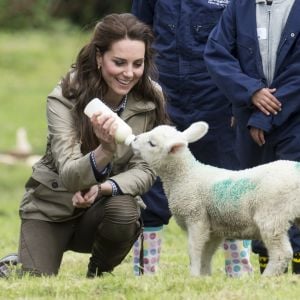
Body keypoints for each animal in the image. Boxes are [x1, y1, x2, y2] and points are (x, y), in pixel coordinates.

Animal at [131, 120, 300, 276]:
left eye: (152, 143)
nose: (134, 139)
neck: (185, 176)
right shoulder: (214, 228)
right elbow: (206, 254)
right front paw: (204, 276)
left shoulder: (196, 217)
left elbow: (194, 250)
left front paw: (193, 276)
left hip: (272, 215)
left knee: (282, 254)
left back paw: (266, 277)